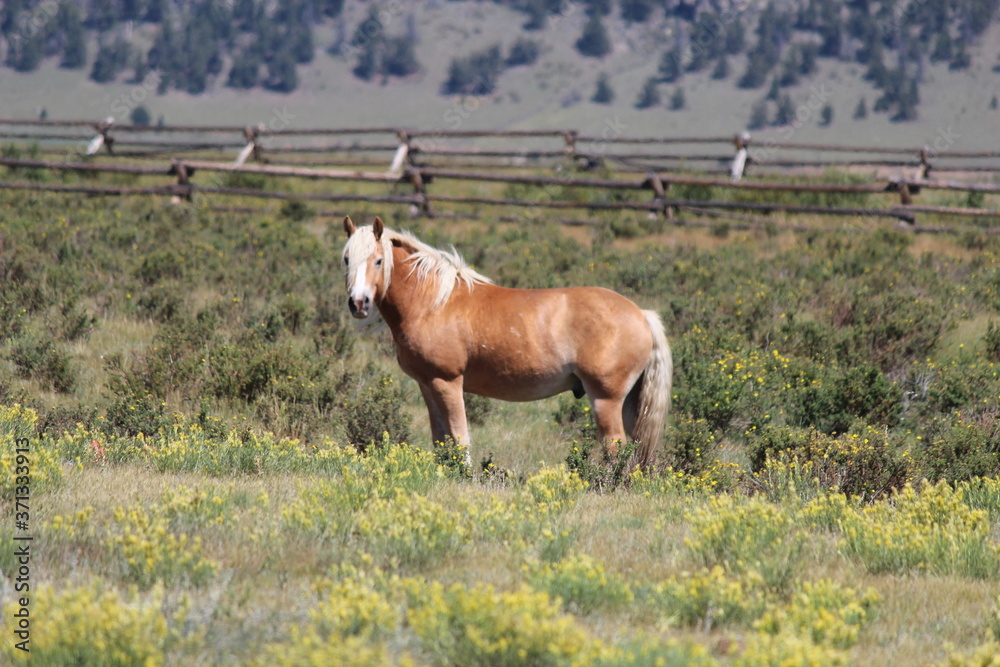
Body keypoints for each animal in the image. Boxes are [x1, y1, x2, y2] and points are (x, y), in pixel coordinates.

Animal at [340, 217, 676, 468]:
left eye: (378, 260)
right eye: (346, 259)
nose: (358, 303)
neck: (433, 303)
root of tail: (641, 313)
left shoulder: (447, 382)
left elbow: (460, 438)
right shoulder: (427, 384)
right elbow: (441, 439)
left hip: (605, 400)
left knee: (614, 447)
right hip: (629, 403)